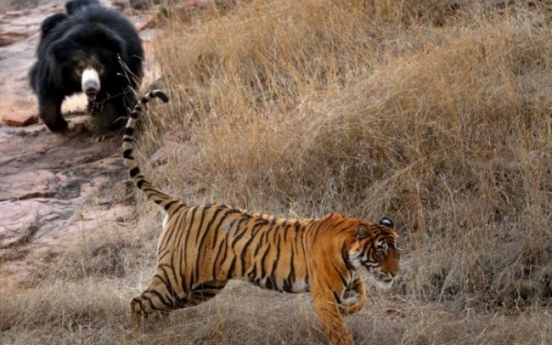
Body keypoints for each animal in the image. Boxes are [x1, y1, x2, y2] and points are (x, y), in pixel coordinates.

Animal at [29, 0, 143, 133]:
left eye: (99, 67)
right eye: (79, 68)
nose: (90, 88)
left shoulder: (124, 67)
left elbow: (115, 94)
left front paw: (104, 127)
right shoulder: (54, 68)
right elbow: (49, 89)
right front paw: (60, 127)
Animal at [123, 89, 402, 344]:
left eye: (396, 251)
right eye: (380, 251)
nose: (396, 274)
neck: (351, 253)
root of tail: (181, 206)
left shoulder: (351, 283)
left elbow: (362, 299)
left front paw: (349, 308)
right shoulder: (324, 295)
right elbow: (340, 331)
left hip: (203, 287)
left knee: (160, 306)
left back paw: (163, 330)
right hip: (177, 276)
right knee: (138, 301)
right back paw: (139, 336)